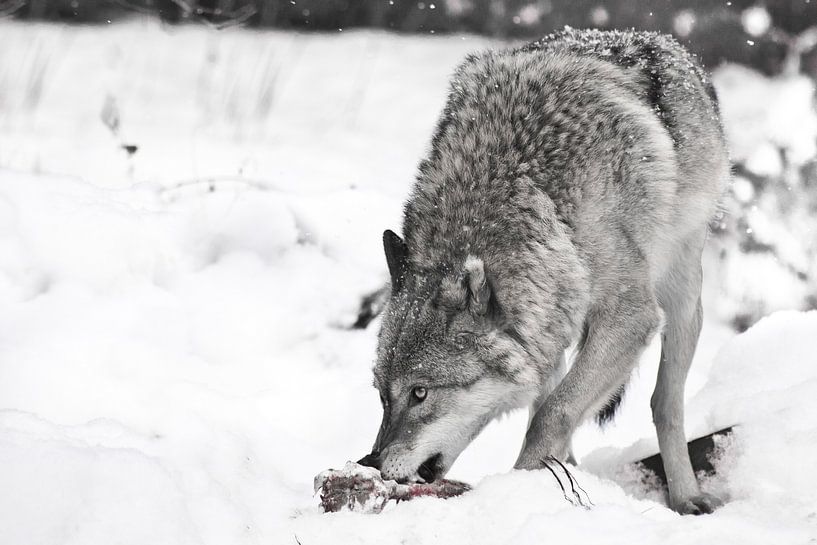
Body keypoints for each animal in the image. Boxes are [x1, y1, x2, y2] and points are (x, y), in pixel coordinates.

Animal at [358, 28, 729, 515]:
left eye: (420, 393)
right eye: (383, 395)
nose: (370, 463)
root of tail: (661, 41)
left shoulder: (630, 318)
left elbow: (551, 415)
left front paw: (519, 493)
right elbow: (549, 412)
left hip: (680, 294)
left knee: (664, 404)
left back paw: (687, 497)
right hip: (555, 325)